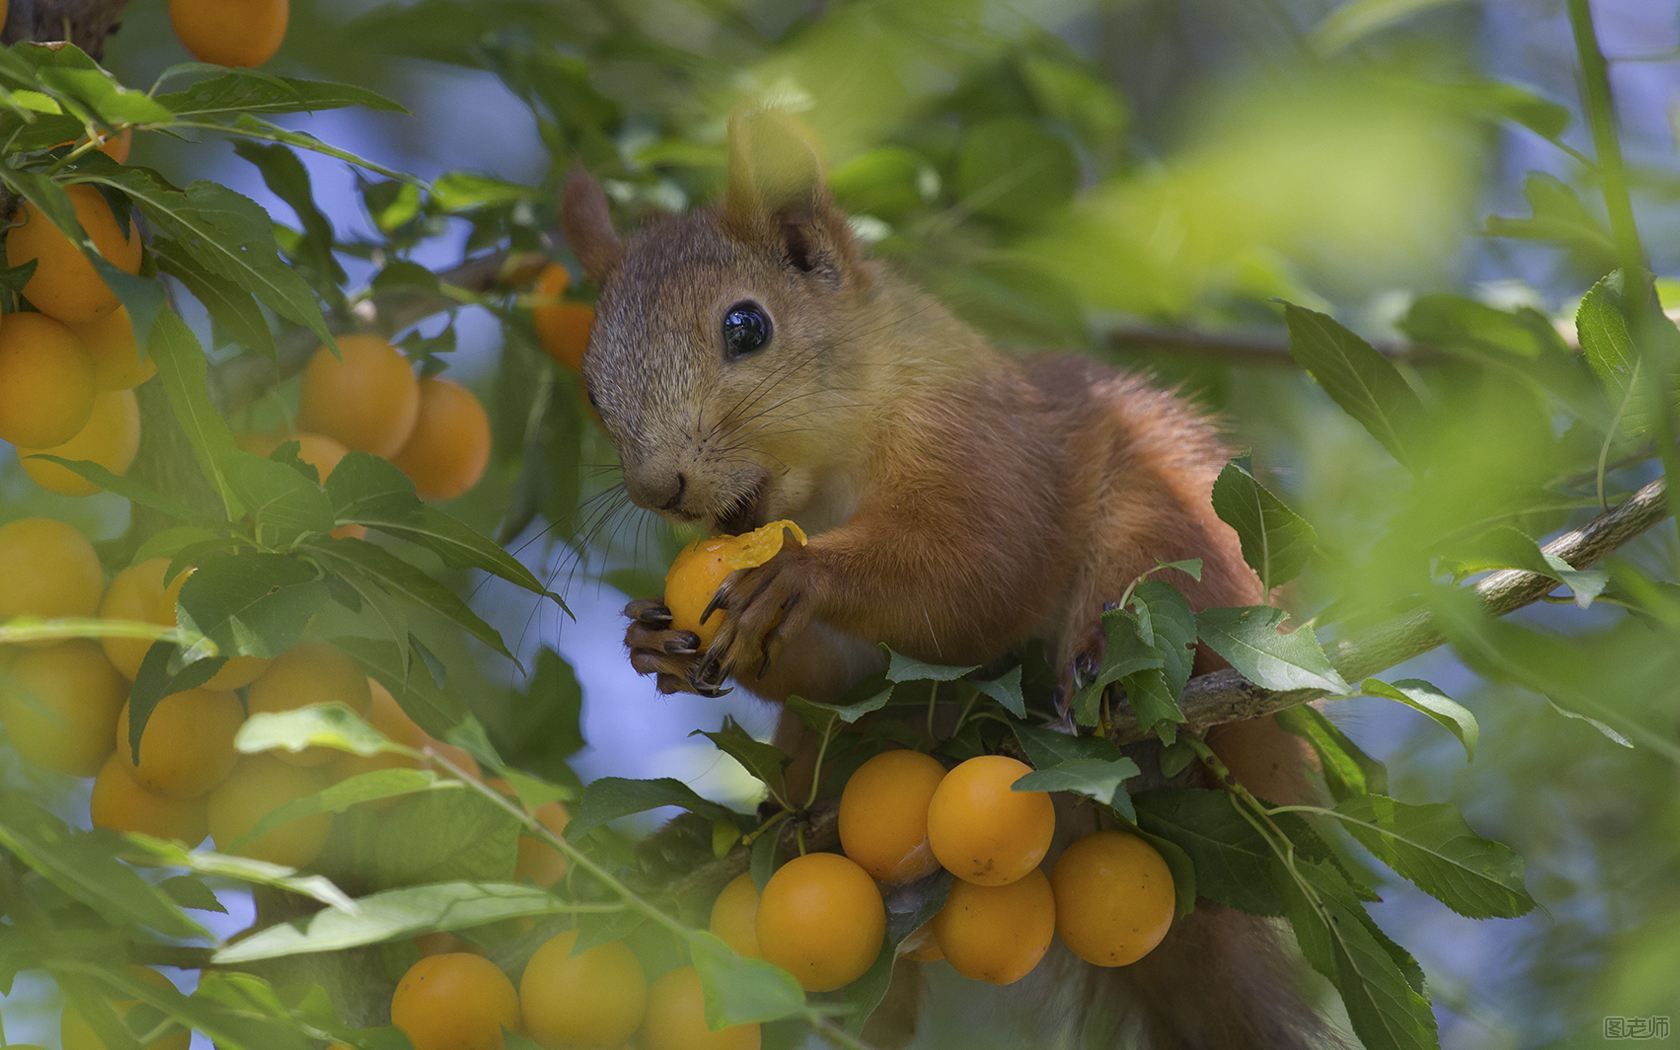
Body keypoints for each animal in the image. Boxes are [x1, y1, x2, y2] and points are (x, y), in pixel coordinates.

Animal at [564, 110, 1337, 1041]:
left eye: (747, 327)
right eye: (591, 391)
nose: (658, 487)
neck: (829, 480)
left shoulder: (985, 441)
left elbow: (981, 565)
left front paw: (798, 574)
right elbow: (841, 677)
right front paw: (658, 643)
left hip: (1169, 540)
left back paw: (1116, 687)